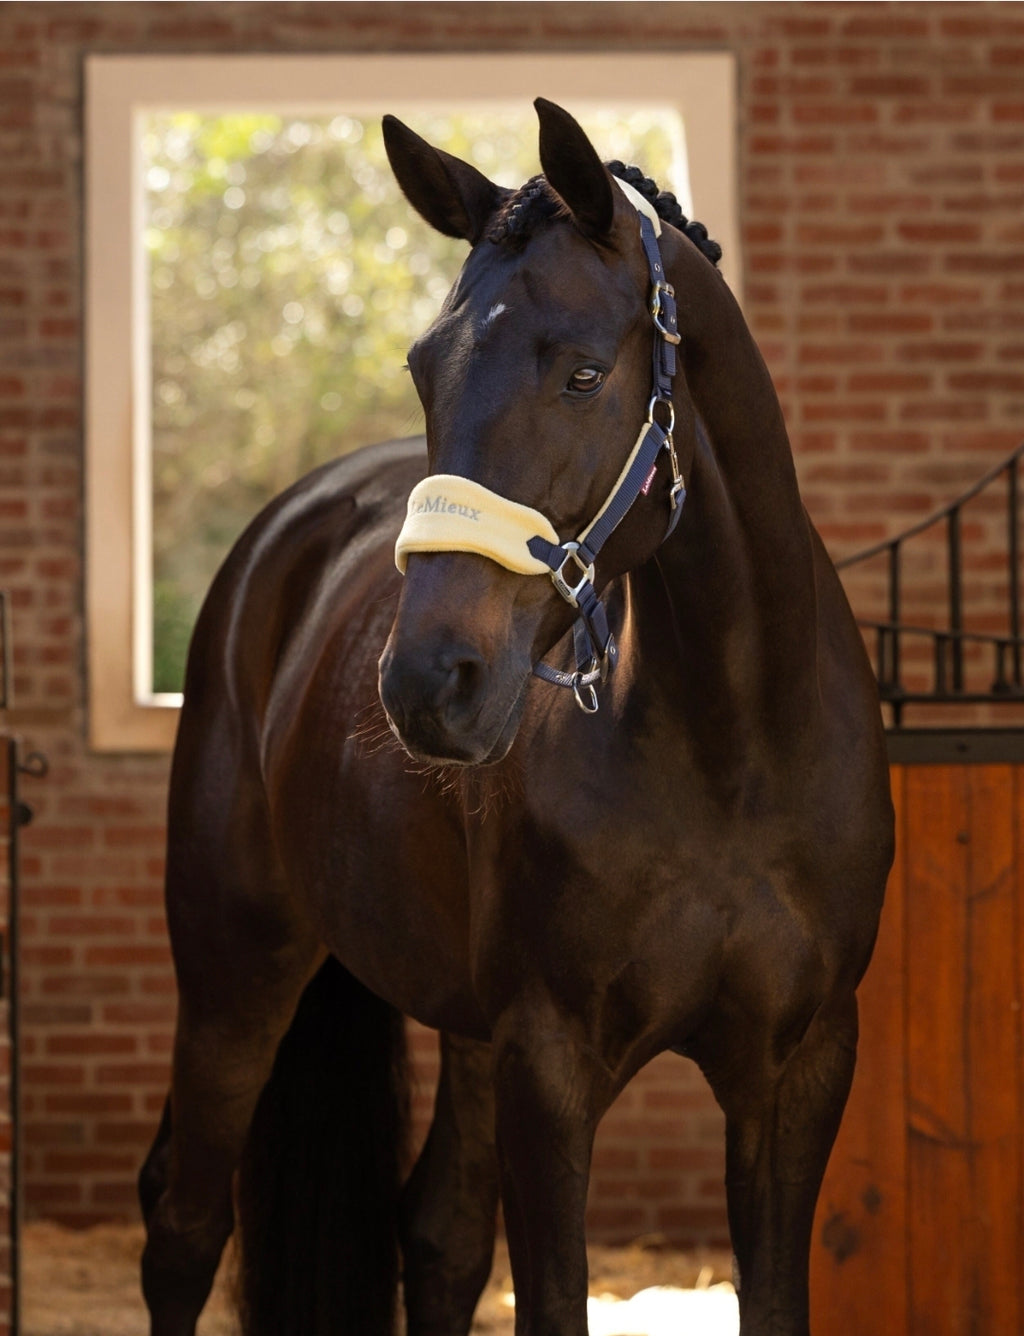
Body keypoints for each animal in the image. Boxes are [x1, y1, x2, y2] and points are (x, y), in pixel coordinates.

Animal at [138, 98, 893, 1336]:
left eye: (583, 373)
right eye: (423, 368)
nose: (427, 680)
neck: (733, 748)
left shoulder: (798, 1071)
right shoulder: (550, 1064)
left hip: (460, 1028)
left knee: (437, 1234)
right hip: (233, 973)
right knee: (184, 1227)